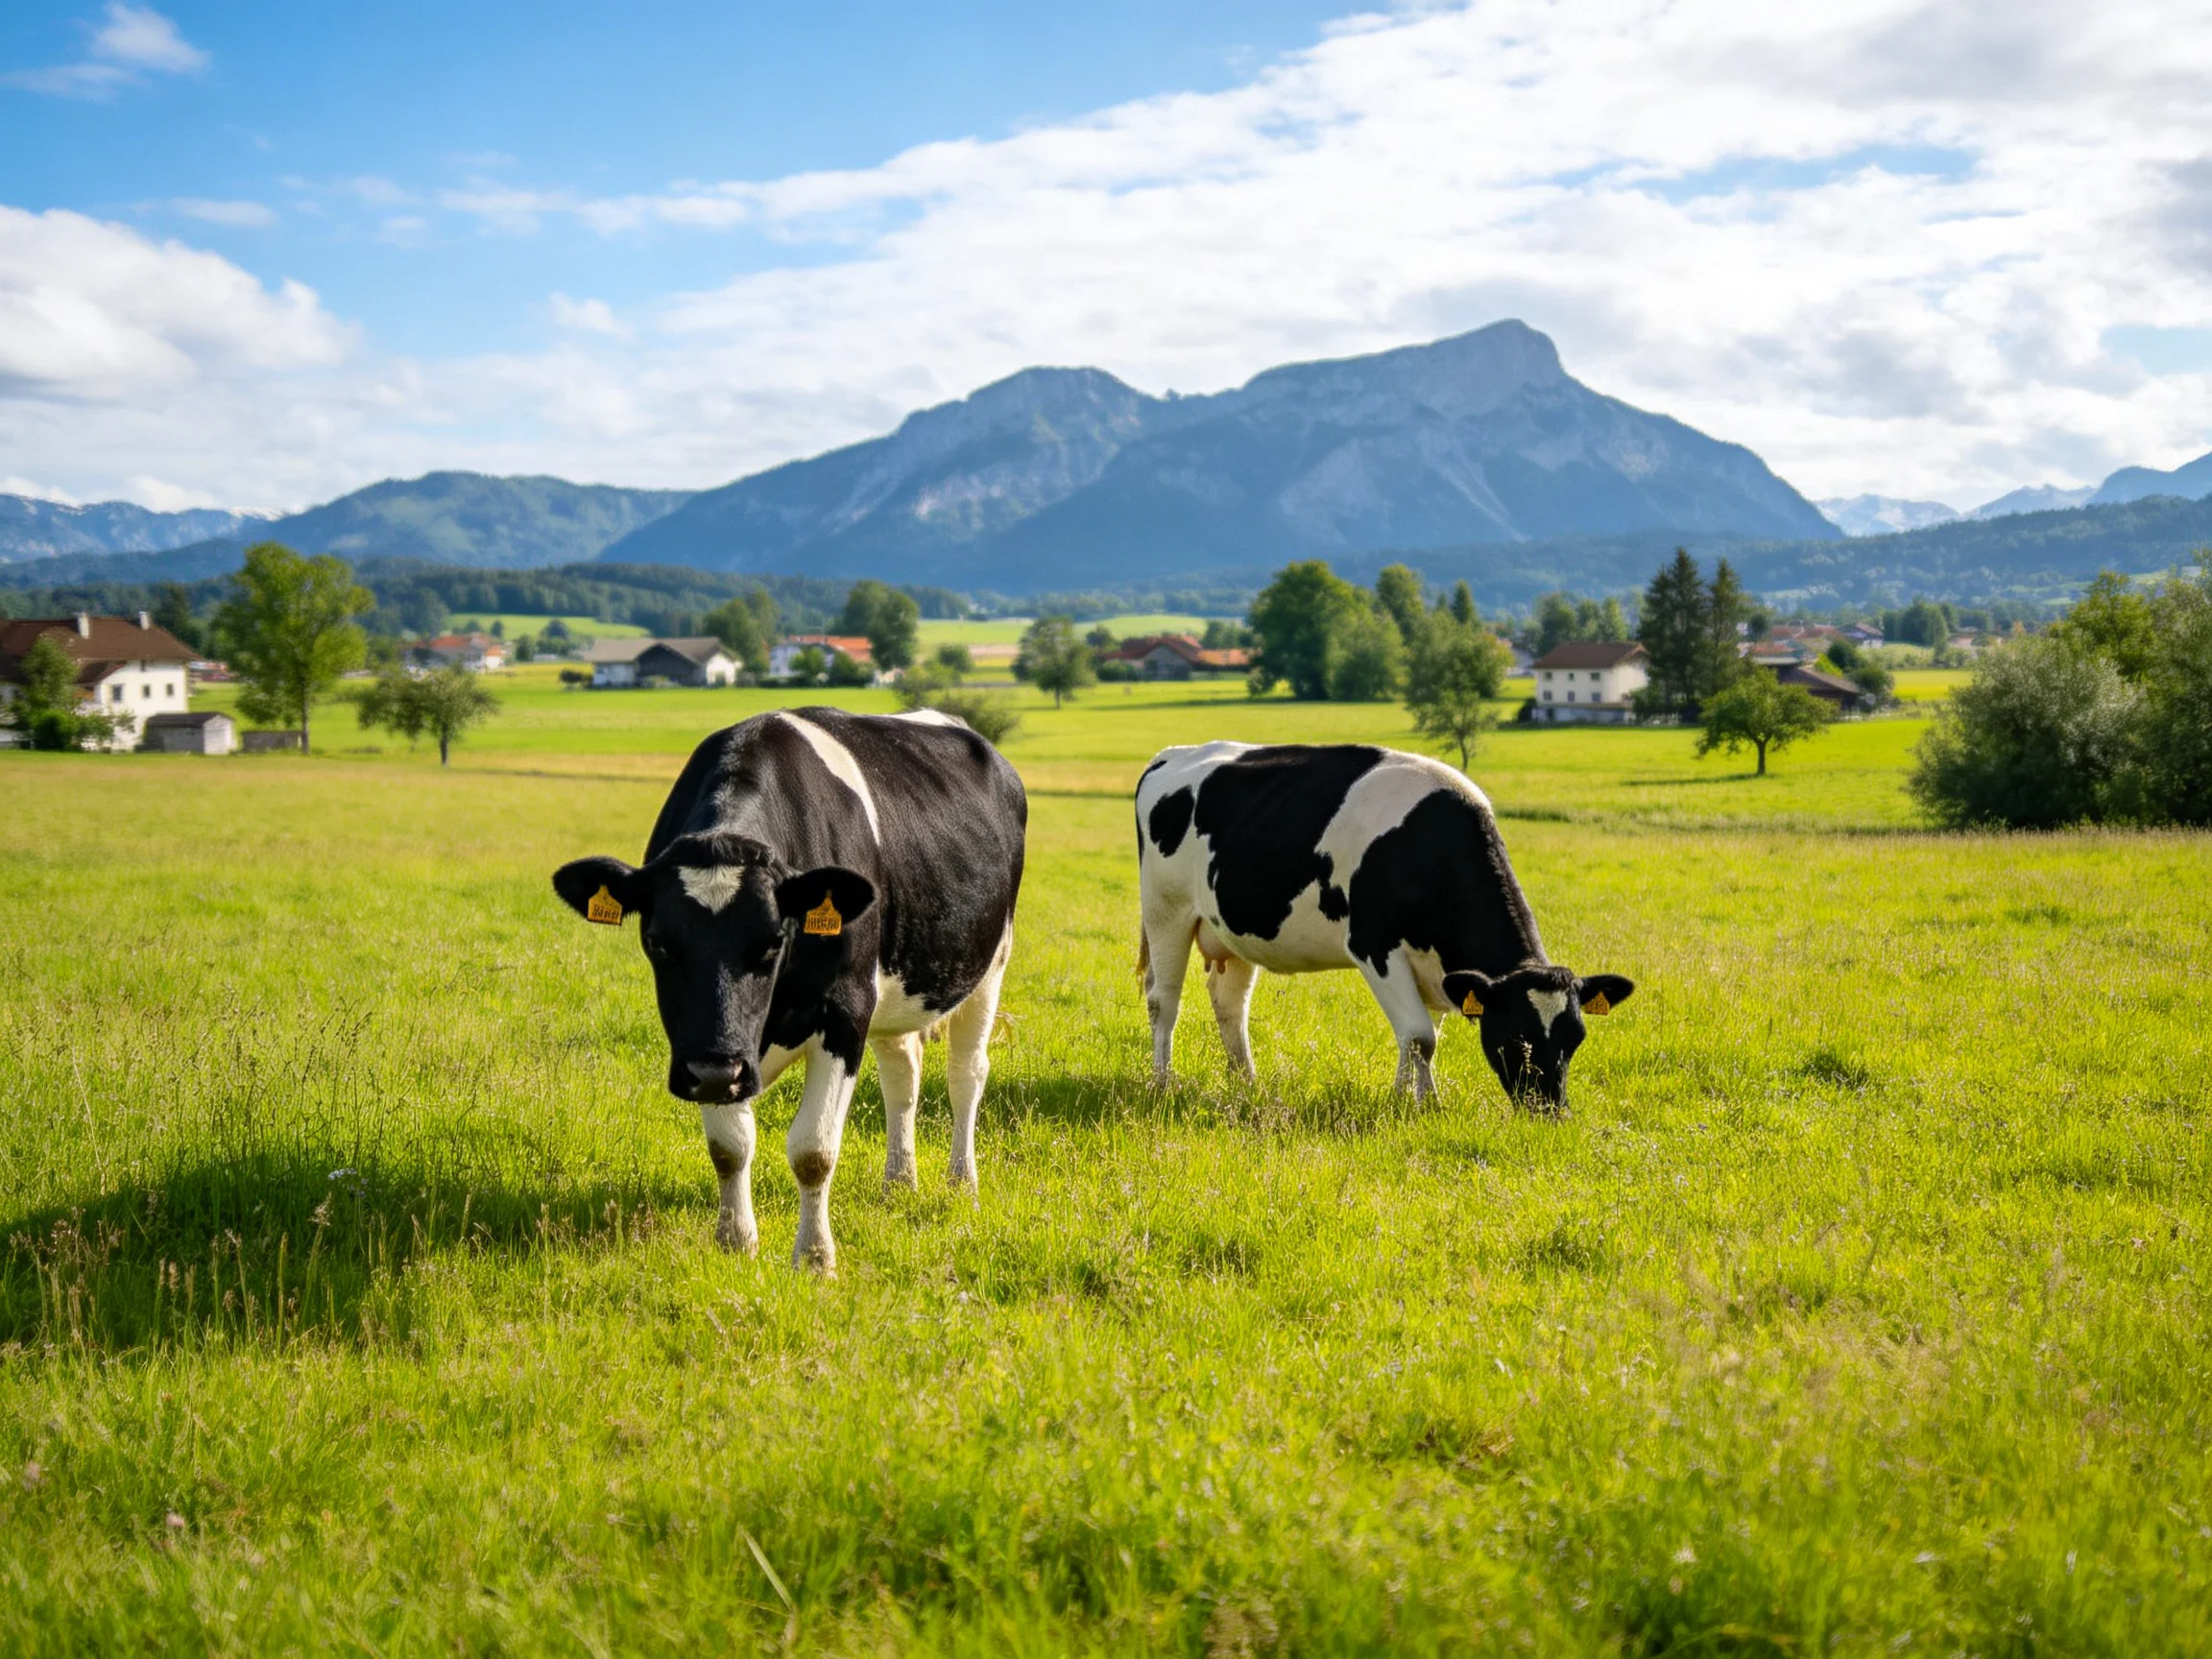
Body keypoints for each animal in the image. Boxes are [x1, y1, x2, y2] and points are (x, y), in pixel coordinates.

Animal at [553, 707, 1026, 1271]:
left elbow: (813, 1150)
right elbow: (729, 1145)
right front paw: (735, 1241)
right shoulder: (708, 1046)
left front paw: (815, 1258)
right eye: (657, 942)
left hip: (990, 964)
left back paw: (961, 1184)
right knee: (902, 1076)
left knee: (966, 1075)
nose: (718, 1071)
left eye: (774, 940)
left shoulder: (845, 1011)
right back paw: (898, 1183)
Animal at [1135, 742, 1632, 1110]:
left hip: (1232, 930)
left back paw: (1246, 1084)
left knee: (1230, 1005)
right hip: (1166, 910)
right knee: (1164, 1000)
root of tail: (1174, 754)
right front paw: (1420, 1105)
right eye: (1514, 1035)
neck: (1429, 847)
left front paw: (1408, 1099)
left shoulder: (1439, 969)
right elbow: (1419, 1036)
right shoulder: (1375, 947)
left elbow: (1422, 1037)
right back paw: (1162, 1082)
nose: (1549, 1110)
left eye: (1576, 1037)